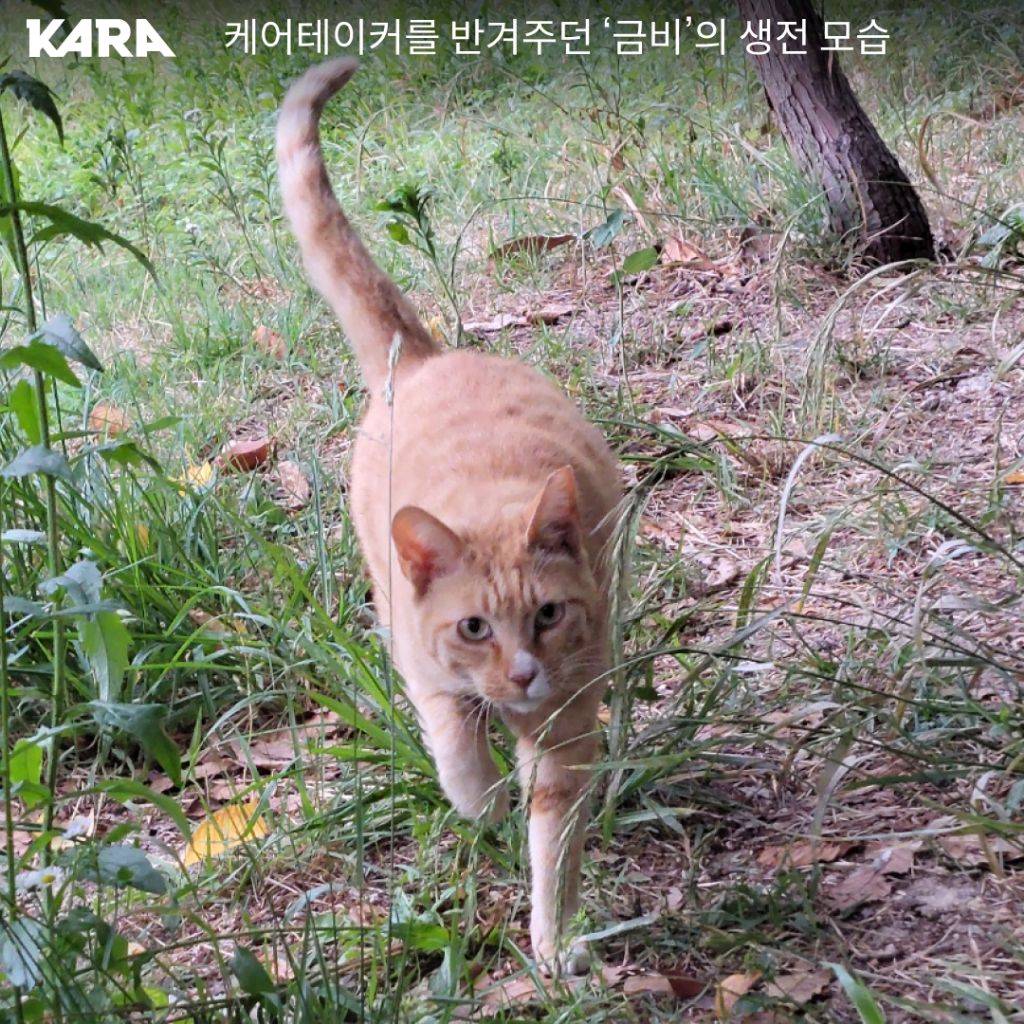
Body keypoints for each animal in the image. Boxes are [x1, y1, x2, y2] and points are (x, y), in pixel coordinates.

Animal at [276, 56, 618, 966]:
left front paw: (556, 944)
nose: (524, 673)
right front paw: (481, 799)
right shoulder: (423, 665)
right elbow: (456, 744)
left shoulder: (568, 722)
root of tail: (425, 359)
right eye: (473, 627)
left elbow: (553, 844)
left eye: (547, 615)